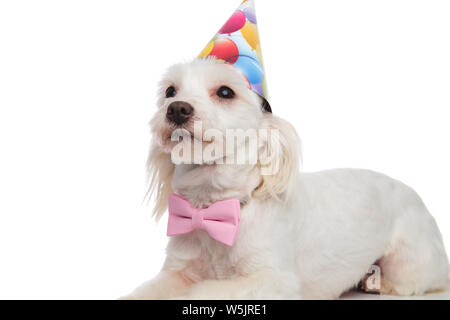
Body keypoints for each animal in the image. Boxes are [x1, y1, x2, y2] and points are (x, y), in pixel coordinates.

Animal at [122, 57, 446, 300]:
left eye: (225, 92)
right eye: (170, 92)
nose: (177, 109)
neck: (215, 206)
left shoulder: (273, 281)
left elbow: (203, 291)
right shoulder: (178, 269)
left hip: (409, 261)